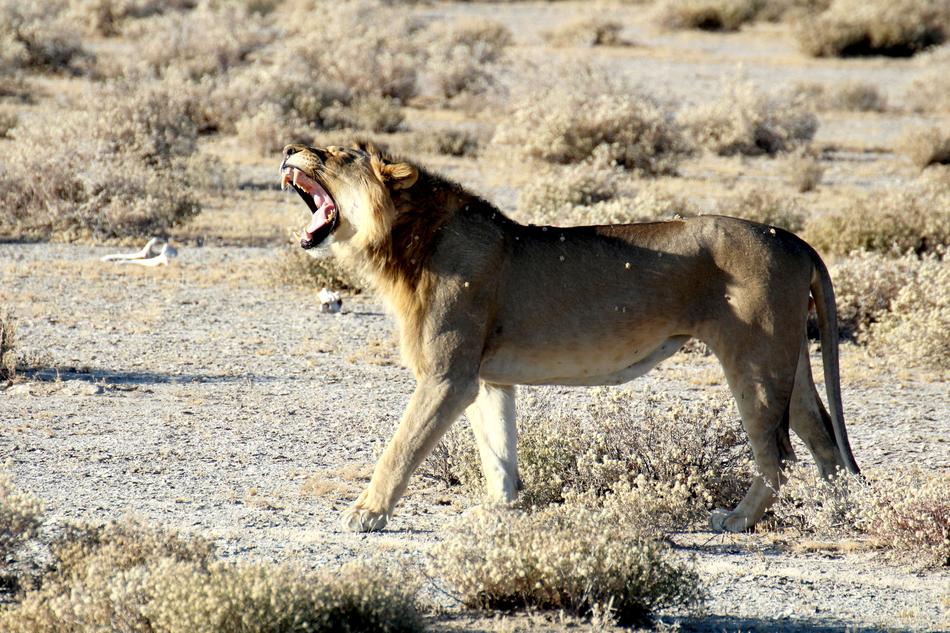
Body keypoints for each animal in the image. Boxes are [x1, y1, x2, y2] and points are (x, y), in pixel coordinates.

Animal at [279, 143, 860, 534]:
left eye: (335, 154)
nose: (288, 149)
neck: (403, 244)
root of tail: (796, 240)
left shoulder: (446, 376)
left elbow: (400, 448)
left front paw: (366, 513)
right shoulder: (486, 379)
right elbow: (497, 452)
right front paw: (500, 510)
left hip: (753, 361)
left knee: (780, 455)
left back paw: (735, 520)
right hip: (788, 359)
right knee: (824, 442)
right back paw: (841, 515)